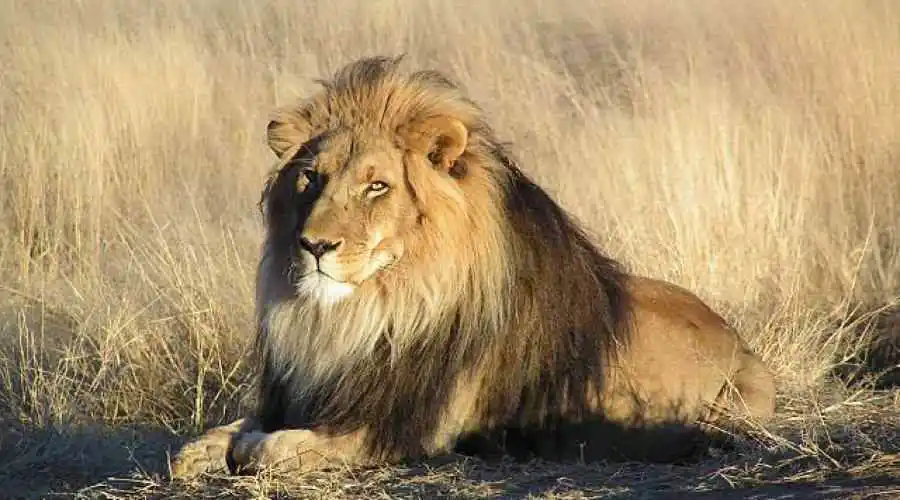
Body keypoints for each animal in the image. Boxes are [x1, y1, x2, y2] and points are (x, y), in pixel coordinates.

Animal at [170, 55, 776, 479]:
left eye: (376, 186)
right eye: (310, 178)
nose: (314, 245)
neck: (368, 312)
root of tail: (742, 343)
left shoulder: (404, 428)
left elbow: (272, 447)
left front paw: (250, 448)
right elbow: (217, 435)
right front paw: (203, 450)